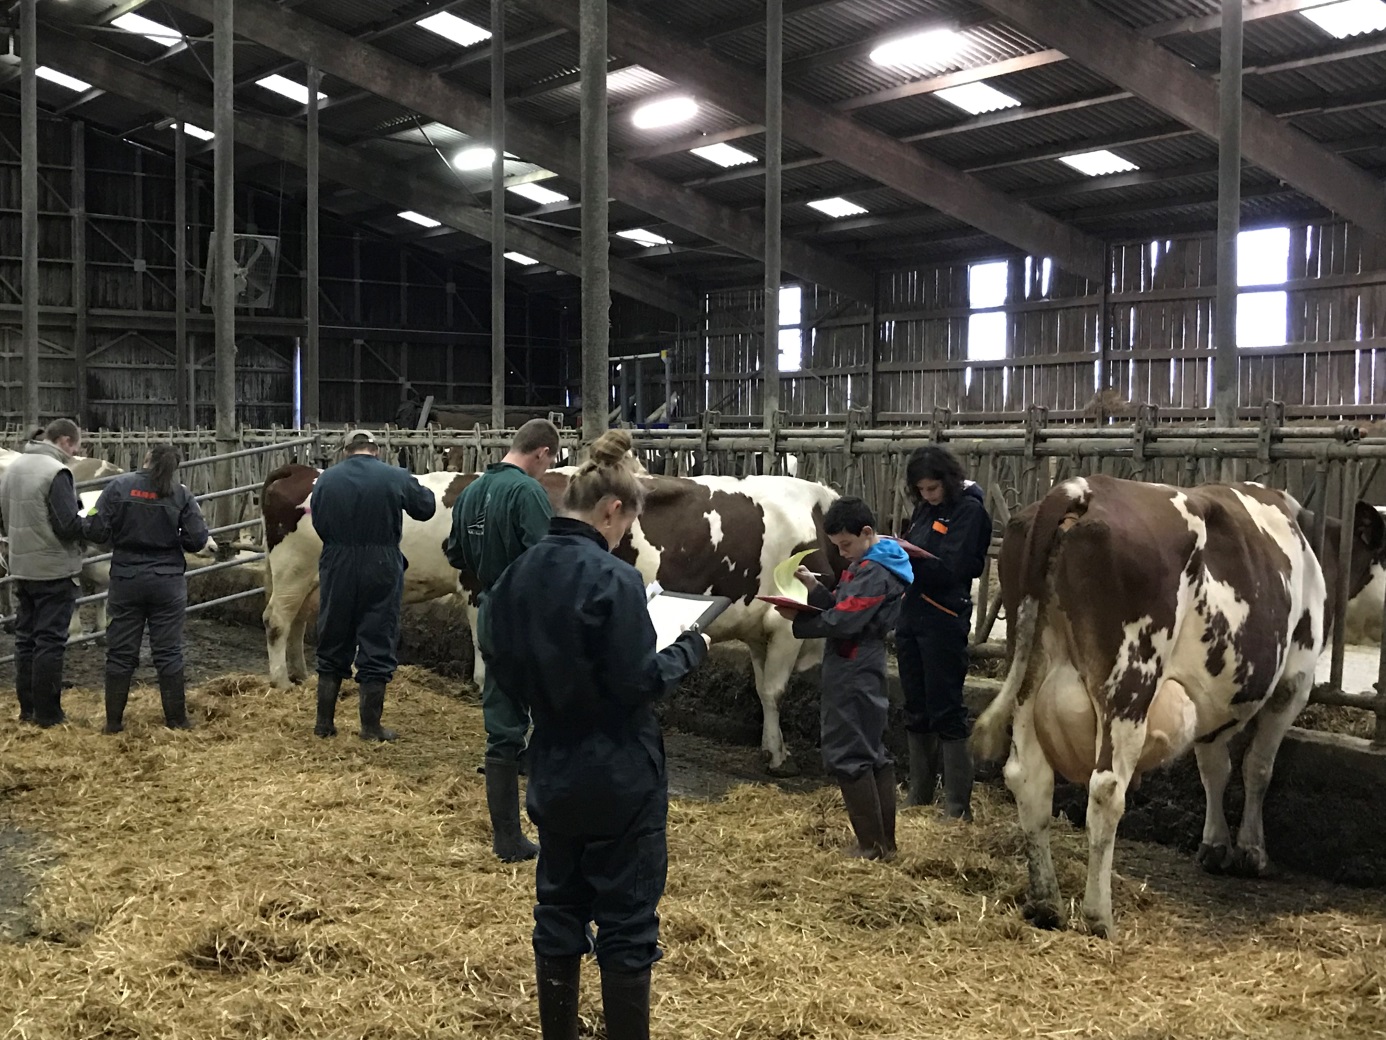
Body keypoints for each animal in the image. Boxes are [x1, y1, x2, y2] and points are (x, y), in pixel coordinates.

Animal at [260, 463, 842, 776]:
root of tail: (301, 469)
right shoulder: (786, 625)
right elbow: (774, 693)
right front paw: (779, 754)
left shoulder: (763, 631)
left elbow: (762, 689)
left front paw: (769, 744)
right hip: (294, 570)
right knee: (275, 620)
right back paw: (279, 681)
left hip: (316, 582)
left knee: (302, 627)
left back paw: (301, 676)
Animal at [975, 477, 1386, 942]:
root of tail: (1079, 489)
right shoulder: (1293, 681)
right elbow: (1258, 767)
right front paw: (1252, 850)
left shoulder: (1212, 694)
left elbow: (1213, 768)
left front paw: (1215, 844)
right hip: (1131, 679)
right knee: (1106, 789)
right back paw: (1099, 916)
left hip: (1029, 670)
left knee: (1029, 779)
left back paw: (1046, 903)